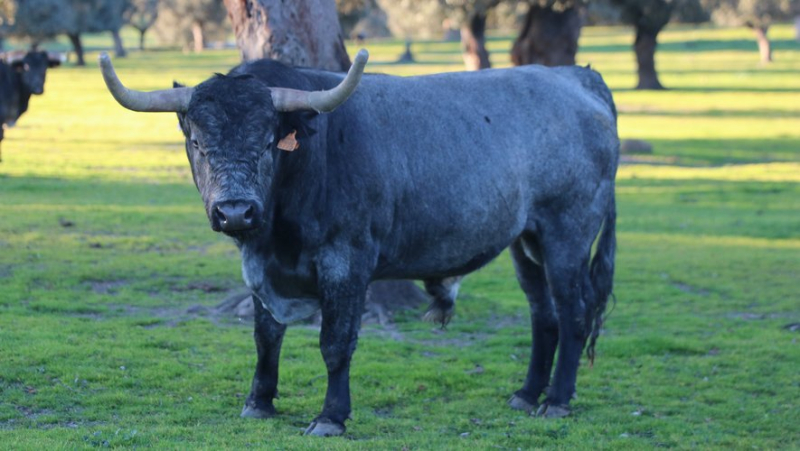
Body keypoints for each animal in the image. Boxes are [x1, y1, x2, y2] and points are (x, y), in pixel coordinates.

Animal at [98, 50, 620, 438]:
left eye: (267, 142)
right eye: (198, 143)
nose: (235, 211)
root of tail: (576, 76)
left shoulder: (346, 262)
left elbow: (335, 342)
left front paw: (331, 416)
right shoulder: (261, 266)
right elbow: (266, 336)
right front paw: (259, 401)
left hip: (567, 231)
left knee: (573, 312)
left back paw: (556, 401)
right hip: (525, 240)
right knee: (542, 314)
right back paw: (527, 394)